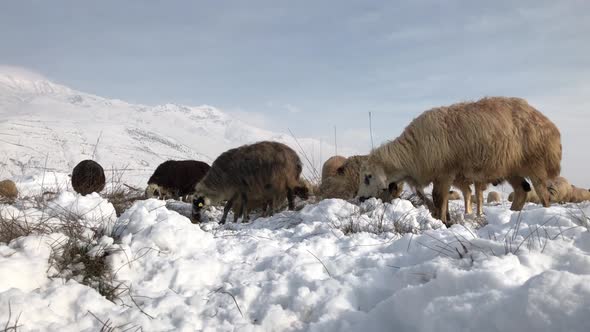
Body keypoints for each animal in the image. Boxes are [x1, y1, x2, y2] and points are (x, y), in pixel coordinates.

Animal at [358, 96, 560, 226]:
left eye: (368, 176)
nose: (359, 198)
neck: (411, 152)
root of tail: (550, 124)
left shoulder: (445, 172)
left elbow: (439, 198)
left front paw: (442, 222)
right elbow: (440, 199)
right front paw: (445, 219)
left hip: (535, 162)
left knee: (543, 193)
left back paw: (544, 213)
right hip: (510, 167)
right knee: (522, 190)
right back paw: (511, 215)